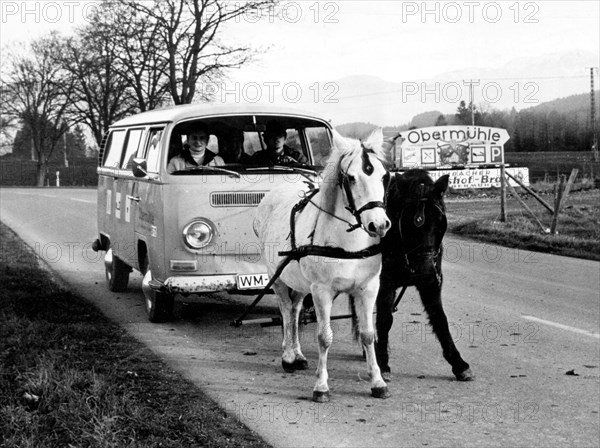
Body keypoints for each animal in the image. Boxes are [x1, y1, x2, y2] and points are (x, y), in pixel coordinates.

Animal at [254, 128, 392, 400]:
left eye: (384, 176)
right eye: (351, 178)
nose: (379, 225)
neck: (348, 243)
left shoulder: (369, 288)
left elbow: (368, 335)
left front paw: (377, 381)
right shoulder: (321, 290)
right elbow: (324, 337)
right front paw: (321, 386)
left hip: (300, 283)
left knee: (295, 311)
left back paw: (297, 354)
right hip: (278, 277)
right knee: (286, 311)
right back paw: (288, 356)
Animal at [376, 170, 474, 384]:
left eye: (439, 222)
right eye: (409, 224)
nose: (426, 270)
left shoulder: (431, 285)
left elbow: (440, 319)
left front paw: (459, 364)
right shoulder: (384, 283)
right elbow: (385, 319)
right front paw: (382, 363)